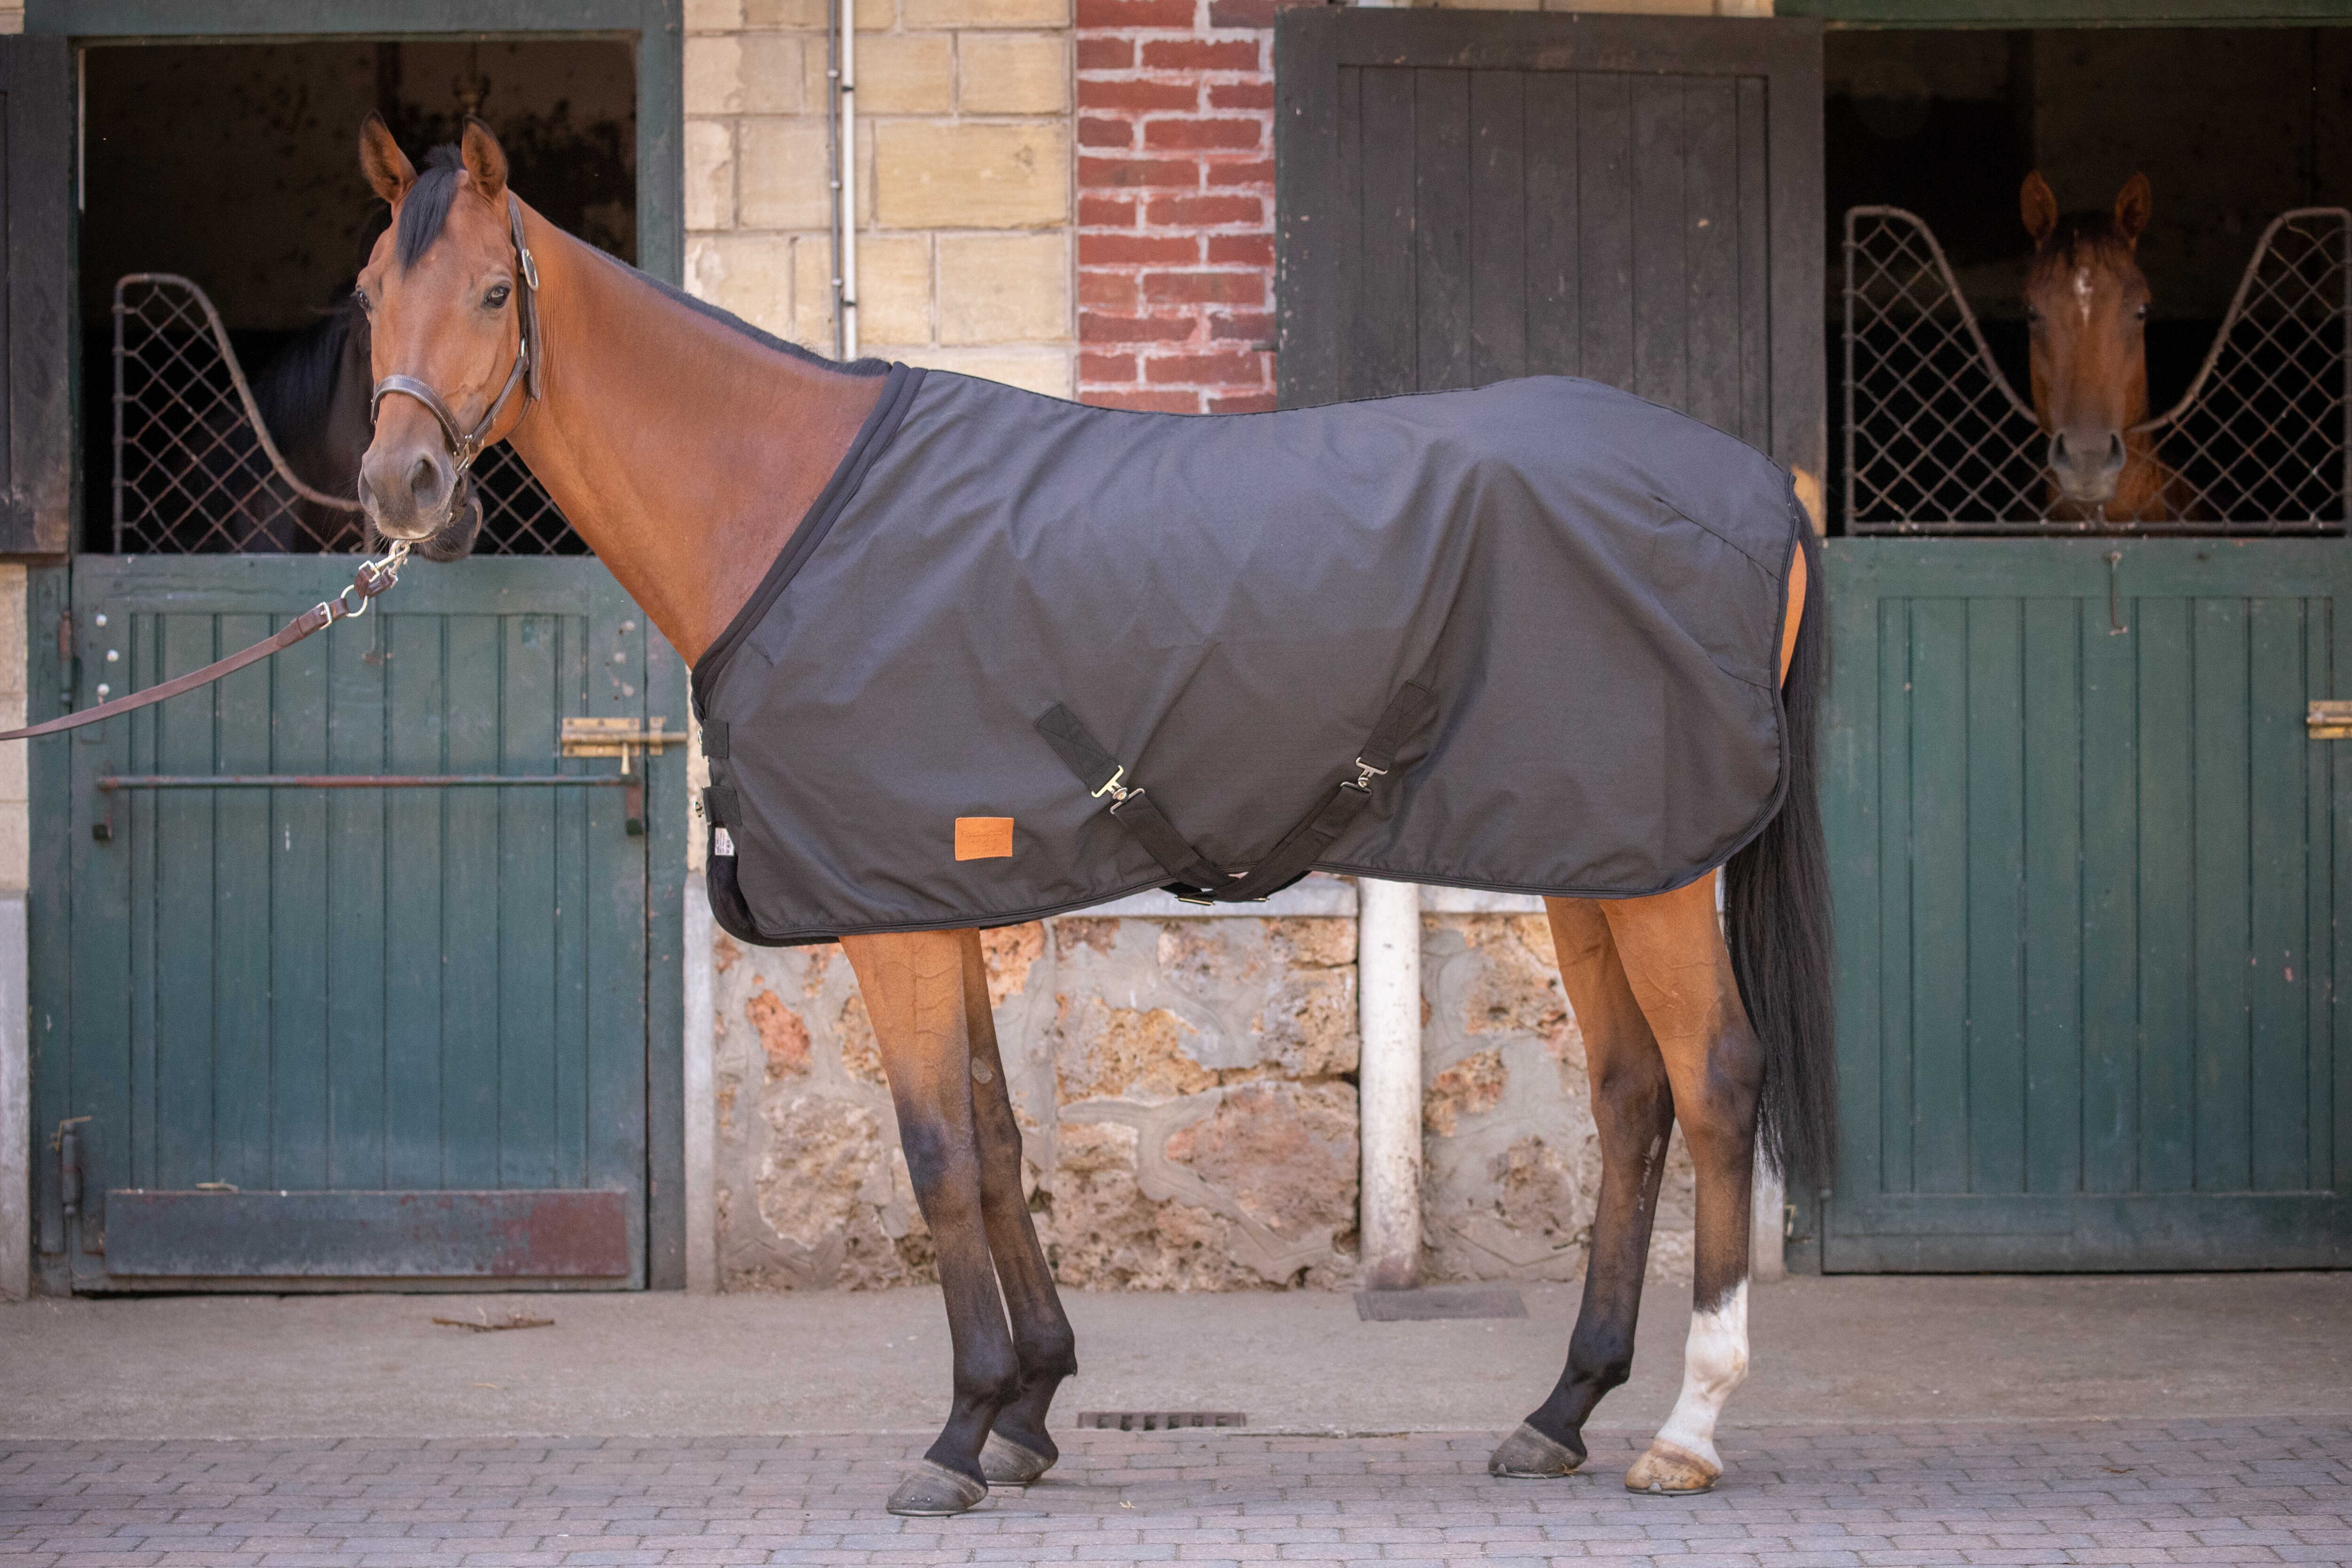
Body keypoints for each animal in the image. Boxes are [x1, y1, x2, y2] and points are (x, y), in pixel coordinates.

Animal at [347, 113, 1835, 1517]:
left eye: (493, 291)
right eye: (368, 291)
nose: (399, 486)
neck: (788, 505)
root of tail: (1766, 490)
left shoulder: (892, 916)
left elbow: (939, 1151)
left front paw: (958, 1431)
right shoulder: (934, 892)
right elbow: (1000, 1138)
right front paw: (1031, 1408)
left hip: (1657, 872)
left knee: (1713, 1080)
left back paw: (1688, 1429)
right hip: (1600, 855)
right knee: (1632, 1094)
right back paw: (1562, 1410)